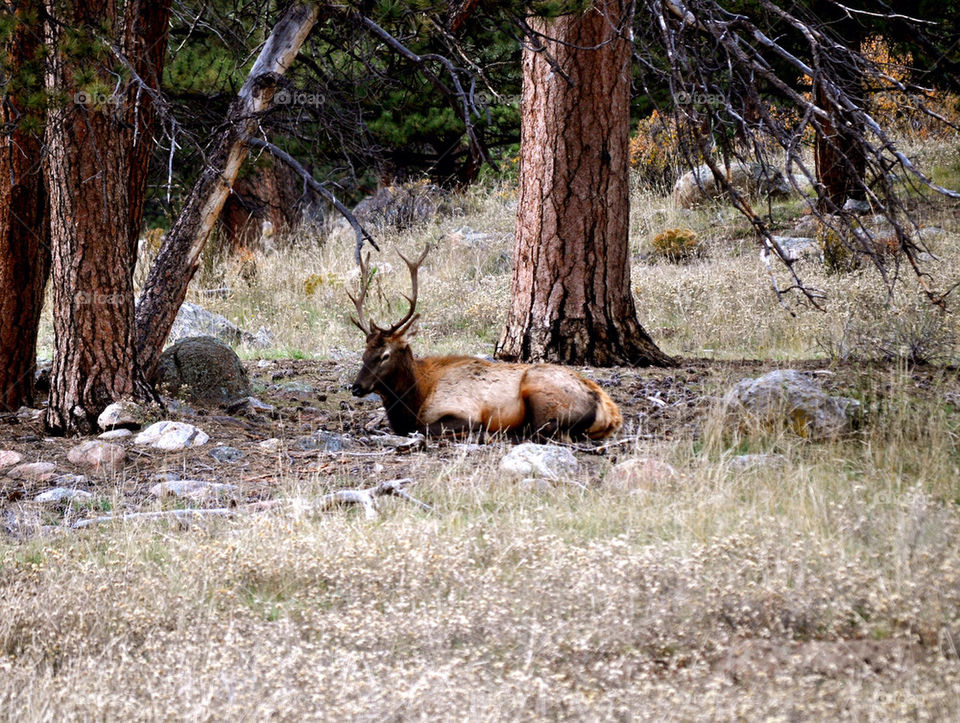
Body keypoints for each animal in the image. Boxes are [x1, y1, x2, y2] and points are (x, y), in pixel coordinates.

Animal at [344, 247, 624, 442]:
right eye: (363, 354)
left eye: (385, 355)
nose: (356, 387)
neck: (416, 398)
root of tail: (610, 412)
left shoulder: (463, 410)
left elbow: (426, 428)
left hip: (540, 391)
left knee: (543, 430)